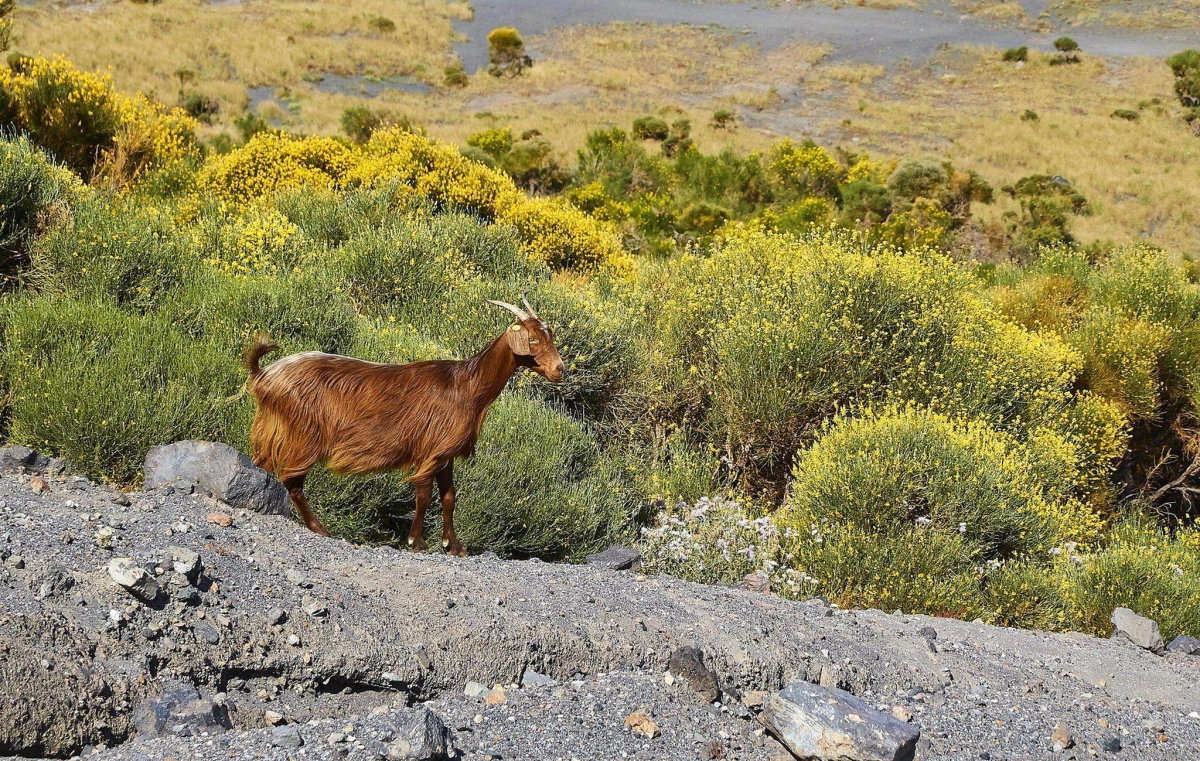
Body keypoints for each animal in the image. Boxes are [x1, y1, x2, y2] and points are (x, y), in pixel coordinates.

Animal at [243, 296, 566, 552]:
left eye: (550, 336)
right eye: (533, 339)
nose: (559, 369)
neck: (467, 386)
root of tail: (264, 375)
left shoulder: (445, 453)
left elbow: (449, 497)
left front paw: (454, 546)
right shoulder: (429, 448)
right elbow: (423, 495)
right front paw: (417, 542)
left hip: (275, 430)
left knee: (265, 467)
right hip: (302, 433)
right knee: (292, 481)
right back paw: (318, 528)